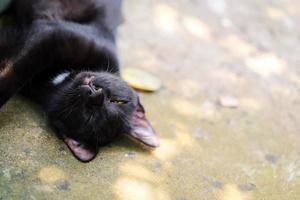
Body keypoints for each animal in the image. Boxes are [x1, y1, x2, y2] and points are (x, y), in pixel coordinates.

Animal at [0, 0, 159, 162]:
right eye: (118, 101)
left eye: (89, 116)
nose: (96, 93)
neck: (57, 80)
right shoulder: (51, 36)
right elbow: (17, 70)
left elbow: (14, 74)